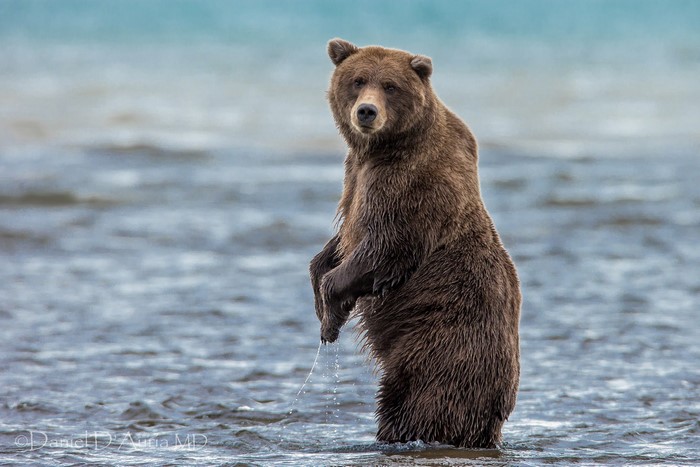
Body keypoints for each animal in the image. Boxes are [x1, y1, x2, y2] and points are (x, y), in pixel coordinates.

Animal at [309, 38, 521, 449]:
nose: (367, 111)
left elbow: (385, 247)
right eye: (358, 80)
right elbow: (340, 242)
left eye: (390, 86)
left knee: (415, 403)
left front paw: (331, 311)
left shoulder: (410, 185)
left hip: (440, 347)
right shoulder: (355, 175)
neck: (382, 148)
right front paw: (322, 297)